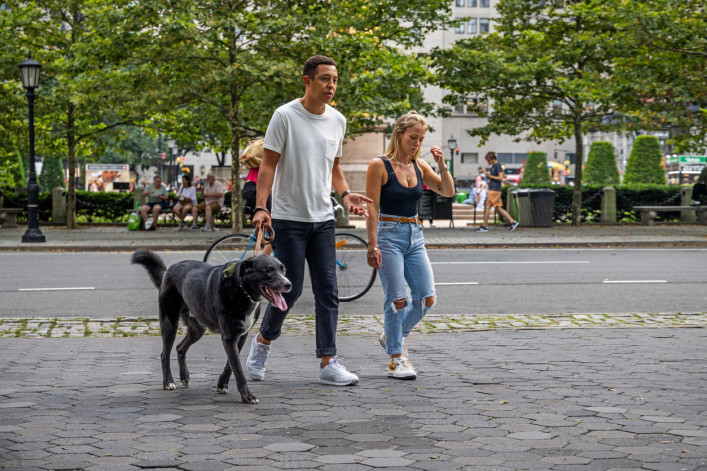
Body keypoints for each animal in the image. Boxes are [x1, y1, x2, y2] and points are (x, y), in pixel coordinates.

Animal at [131, 251, 290, 406]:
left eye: (283, 270)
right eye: (268, 271)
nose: (288, 284)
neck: (241, 288)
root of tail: (168, 270)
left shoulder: (241, 336)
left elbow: (231, 365)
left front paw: (222, 385)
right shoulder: (229, 337)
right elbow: (238, 369)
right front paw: (248, 396)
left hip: (197, 328)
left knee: (180, 348)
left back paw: (184, 377)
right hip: (169, 323)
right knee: (165, 354)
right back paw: (168, 382)